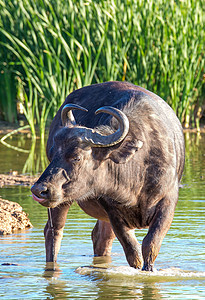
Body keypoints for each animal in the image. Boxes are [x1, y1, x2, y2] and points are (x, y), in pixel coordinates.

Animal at [31, 81, 185, 270]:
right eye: (52, 154)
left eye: (76, 157)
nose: (38, 190)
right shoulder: (113, 210)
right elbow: (133, 251)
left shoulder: (167, 203)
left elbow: (150, 244)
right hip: (60, 202)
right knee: (54, 232)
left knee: (100, 237)